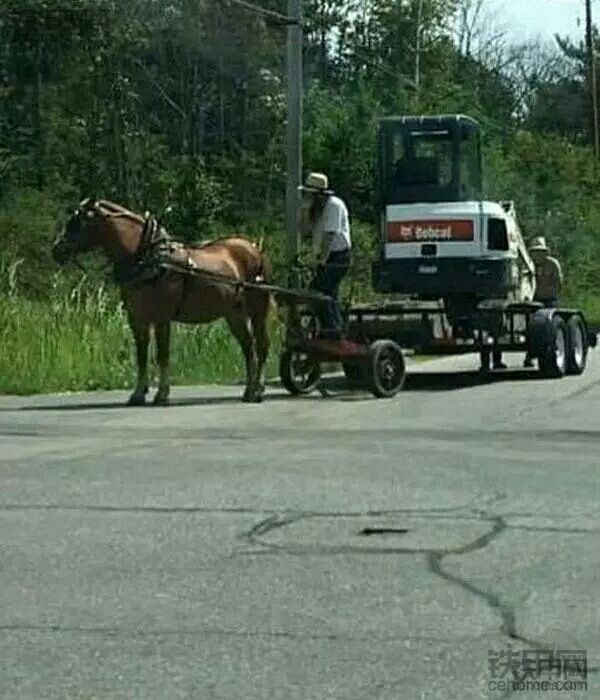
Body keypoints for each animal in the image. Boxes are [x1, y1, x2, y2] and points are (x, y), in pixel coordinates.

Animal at [51, 197, 272, 404]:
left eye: (78, 222)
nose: (56, 250)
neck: (148, 258)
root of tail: (254, 249)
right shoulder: (137, 318)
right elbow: (141, 355)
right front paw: (138, 394)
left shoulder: (161, 318)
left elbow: (162, 354)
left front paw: (162, 394)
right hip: (234, 313)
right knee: (248, 347)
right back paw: (249, 390)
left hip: (257, 310)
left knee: (260, 346)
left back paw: (257, 391)